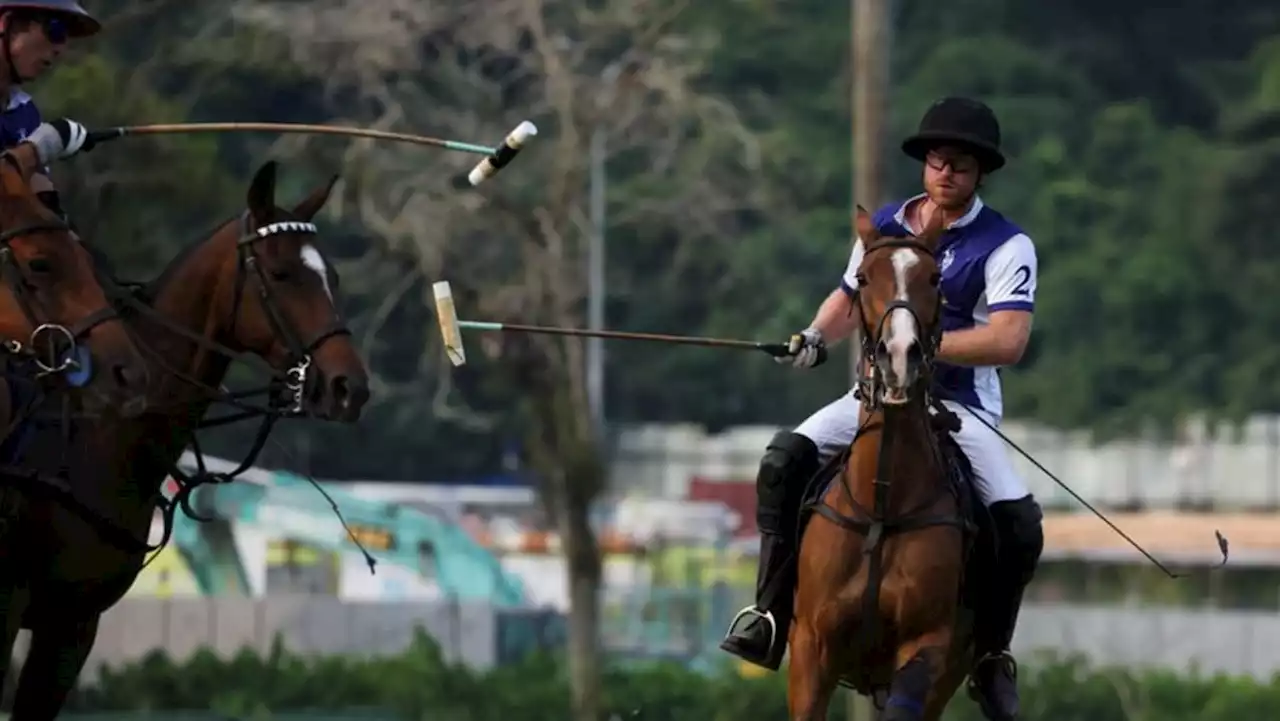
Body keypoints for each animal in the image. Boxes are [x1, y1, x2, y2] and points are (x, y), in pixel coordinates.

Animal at [0, 160, 371, 717]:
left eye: (333, 276)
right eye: (281, 273)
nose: (351, 387)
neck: (92, 442)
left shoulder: (73, 623)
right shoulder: (7, 609)